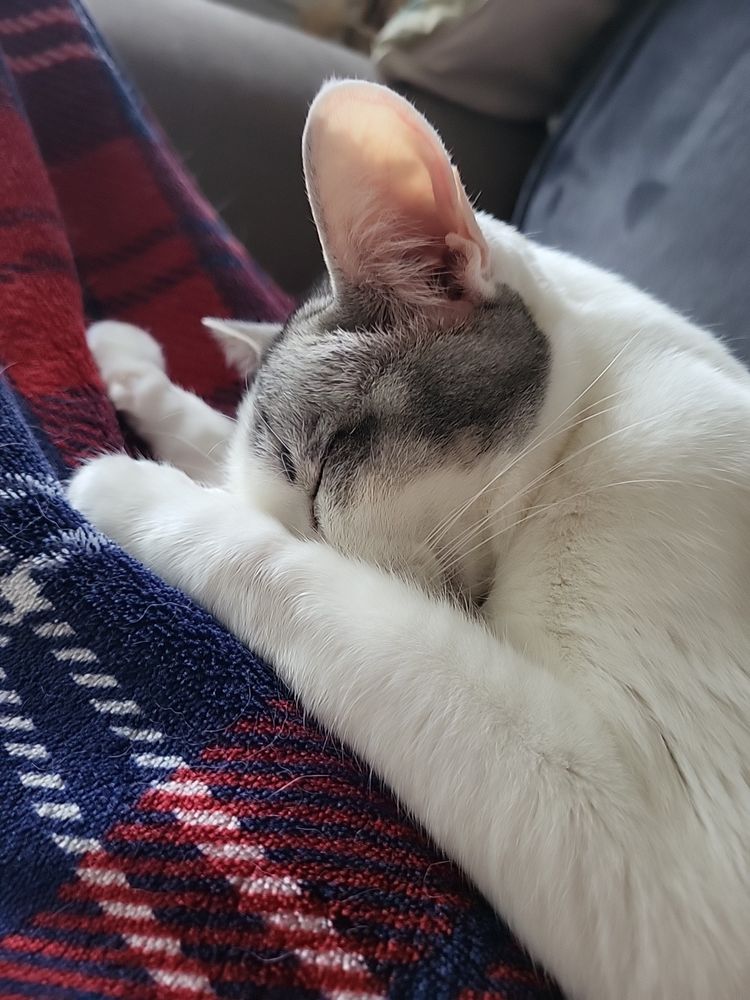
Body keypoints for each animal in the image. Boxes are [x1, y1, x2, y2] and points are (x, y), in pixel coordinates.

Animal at [69, 79, 750, 1000]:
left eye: (323, 478)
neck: (598, 412)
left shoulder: (664, 854)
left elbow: (299, 576)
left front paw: (119, 483)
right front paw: (132, 370)